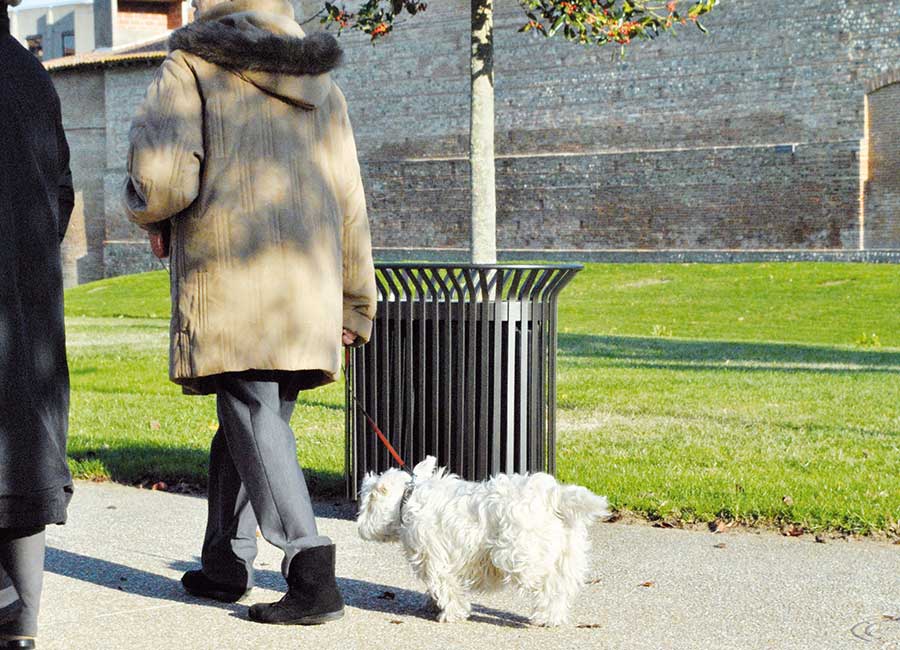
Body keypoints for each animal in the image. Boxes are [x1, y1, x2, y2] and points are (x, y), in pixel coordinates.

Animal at [356, 456, 608, 624]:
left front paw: (452, 613)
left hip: (518, 556)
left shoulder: (434, 558)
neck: (408, 498)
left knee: (548, 583)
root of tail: (553, 497)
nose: (359, 528)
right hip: (568, 556)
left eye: (367, 503)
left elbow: (444, 585)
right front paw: (433, 604)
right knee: (559, 588)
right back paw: (549, 618)